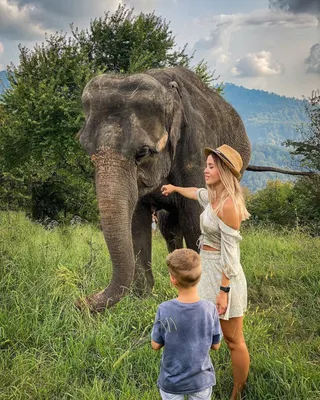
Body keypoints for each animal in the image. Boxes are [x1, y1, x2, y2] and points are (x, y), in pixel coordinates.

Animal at [76, 65, 251, 312]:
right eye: (87, 150)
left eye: (142, 152)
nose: (79, 301)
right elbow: (136, 221)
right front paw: (142, 299)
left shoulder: (195, 147)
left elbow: (194, 219)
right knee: (169, 226)